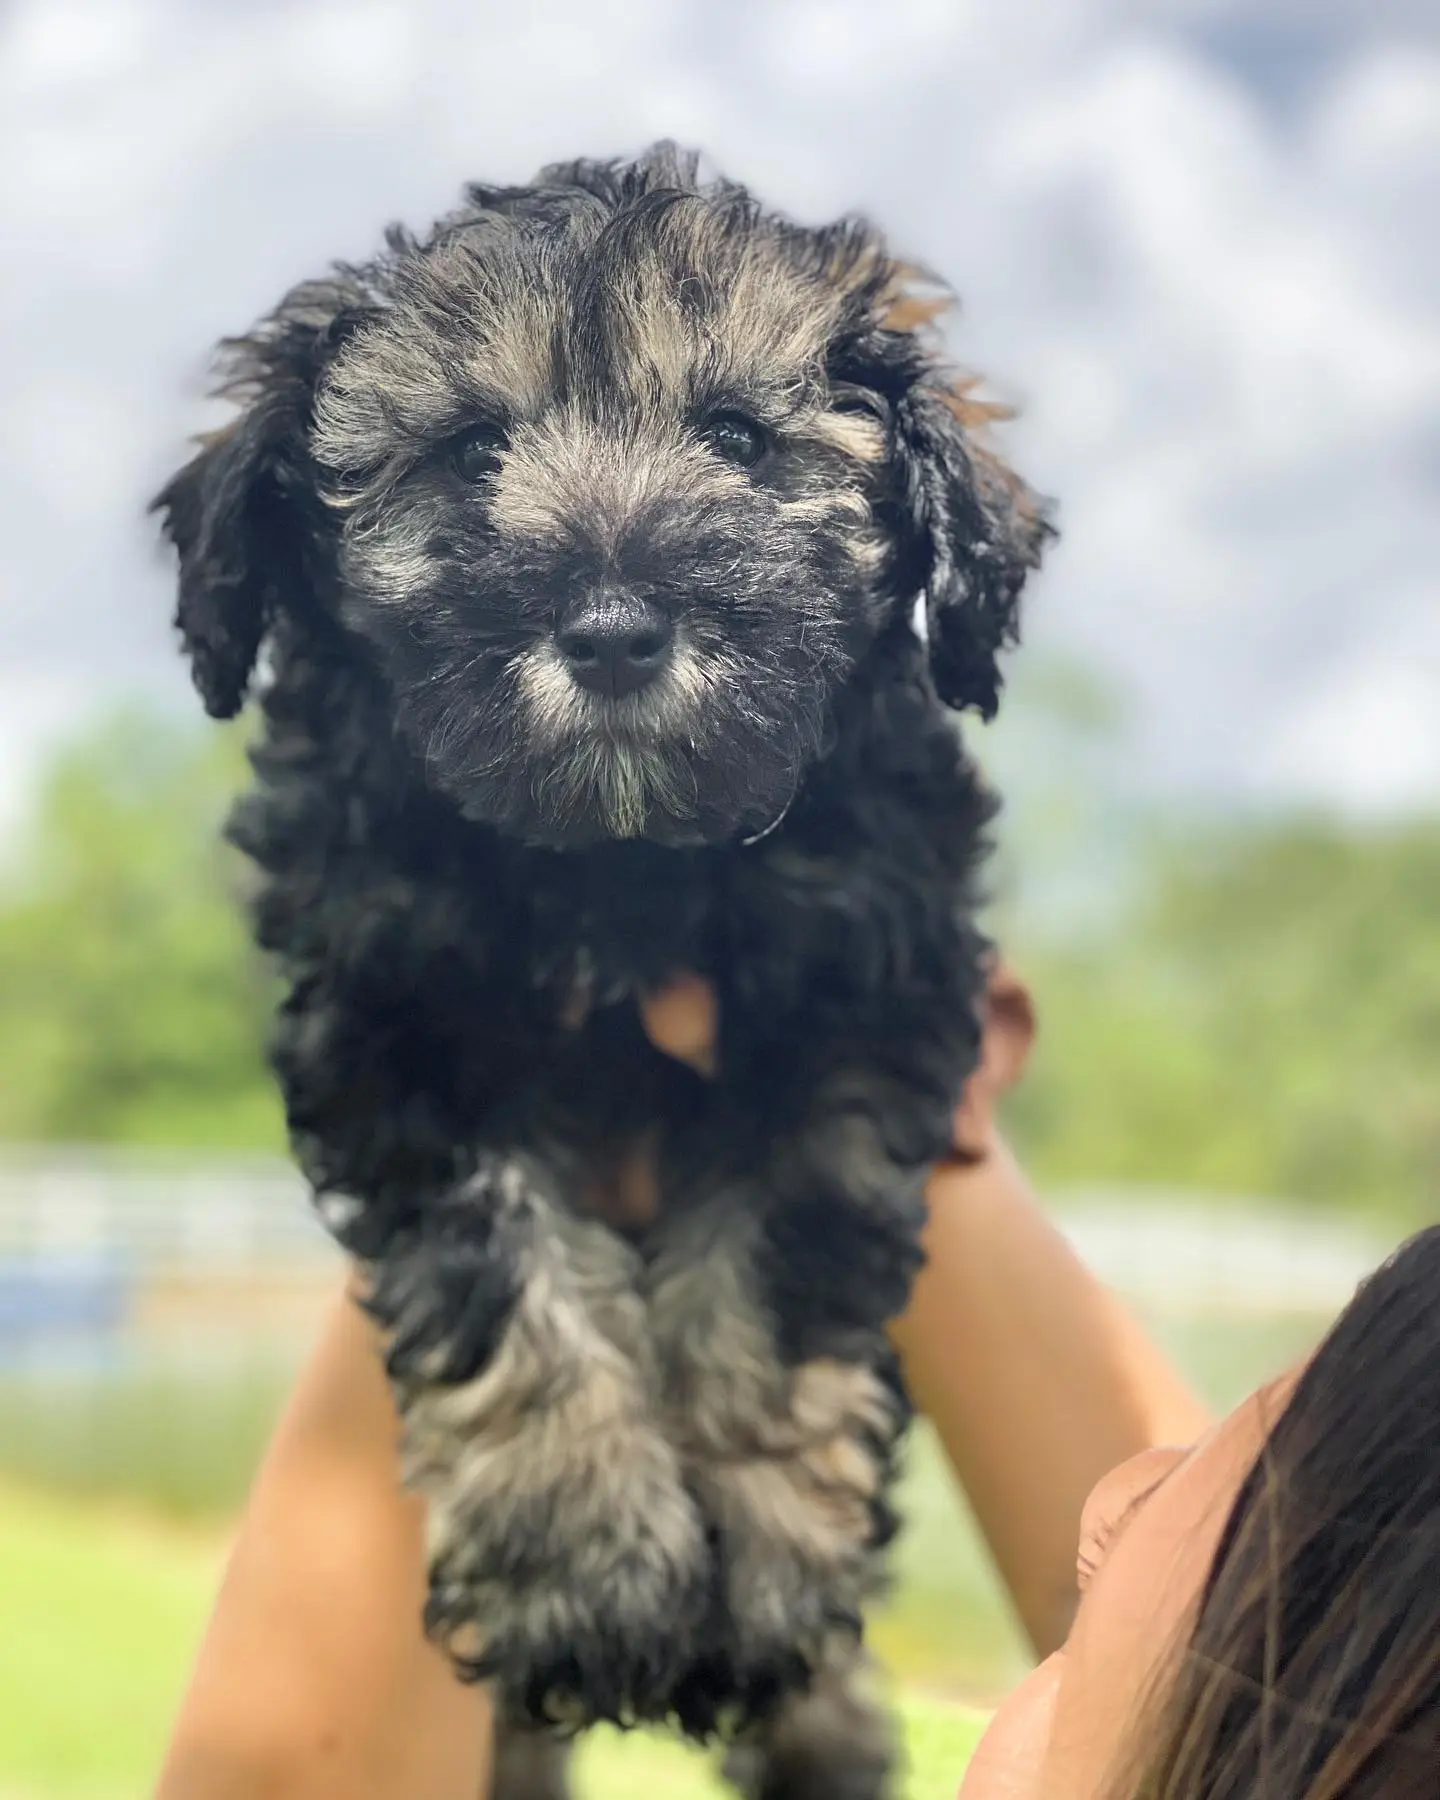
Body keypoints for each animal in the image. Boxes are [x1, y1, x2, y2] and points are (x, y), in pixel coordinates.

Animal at [157, 147, 1051, 1792]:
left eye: (741, 440)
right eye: (469, 452)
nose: (618, 630)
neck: (617, 861)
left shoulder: (854, 997)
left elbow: (776, 1267)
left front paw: (754, 1569)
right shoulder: (399, 1021)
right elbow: (509, 1282)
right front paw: (590, 1570)